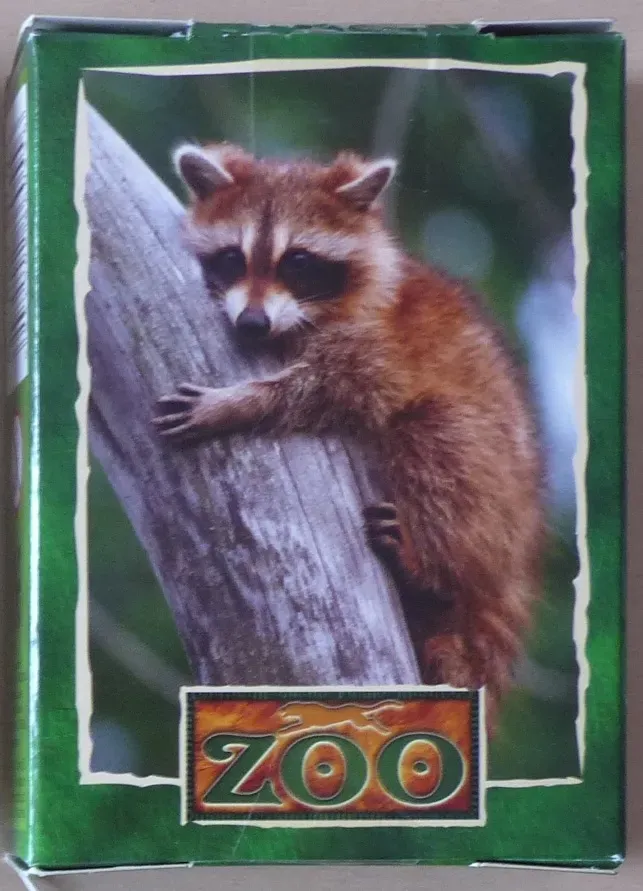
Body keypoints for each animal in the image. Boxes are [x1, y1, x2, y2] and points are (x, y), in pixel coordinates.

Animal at [154, 142, 545, 727]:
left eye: (297, 261)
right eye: (232, 257)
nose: (252, 324)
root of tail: (510, 574)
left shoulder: (380, 343)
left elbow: (337, 388)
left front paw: (240, 402)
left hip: (494, 501)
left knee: (437, 436)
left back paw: (429, 571)